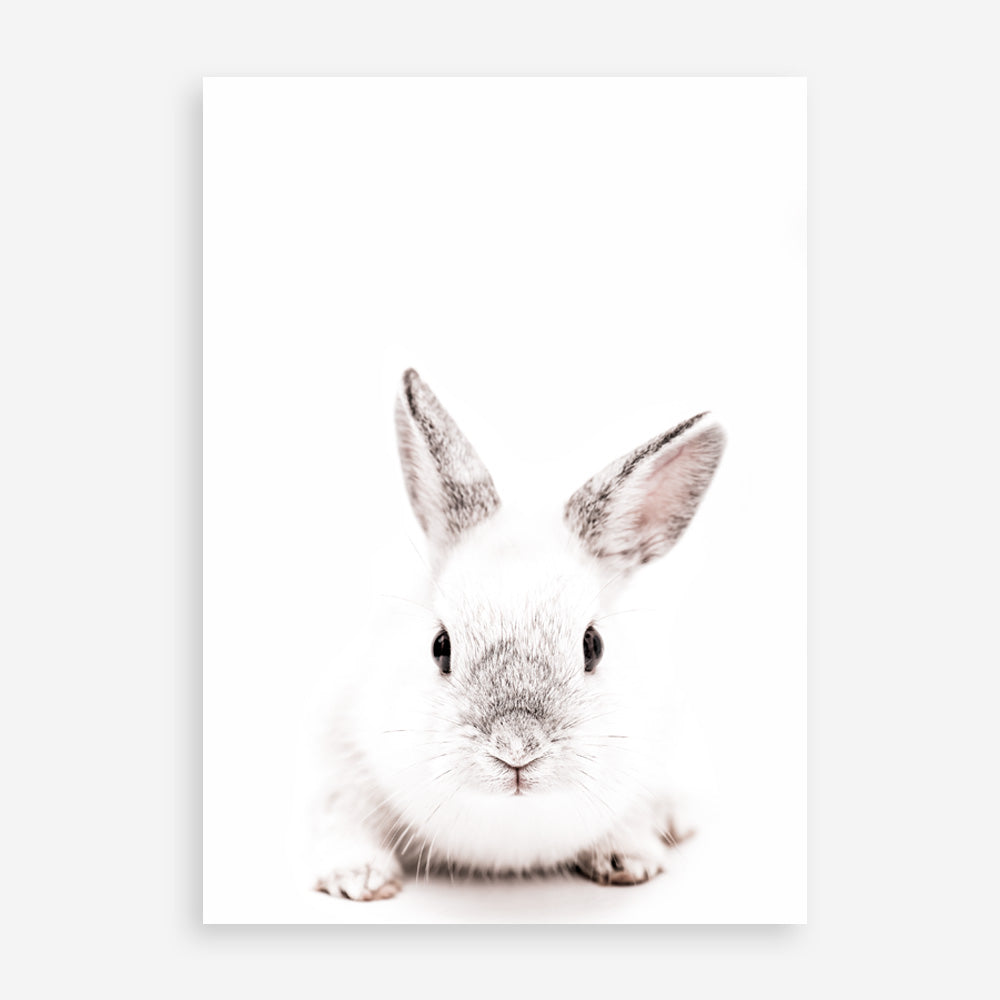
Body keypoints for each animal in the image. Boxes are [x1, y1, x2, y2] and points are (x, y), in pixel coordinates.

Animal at [307, 368, 725, 901]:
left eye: (593, 646)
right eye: (440, 646)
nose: (517, 748)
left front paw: (628, 859)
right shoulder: (340, 763)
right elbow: (342, 818)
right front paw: (358, 878)